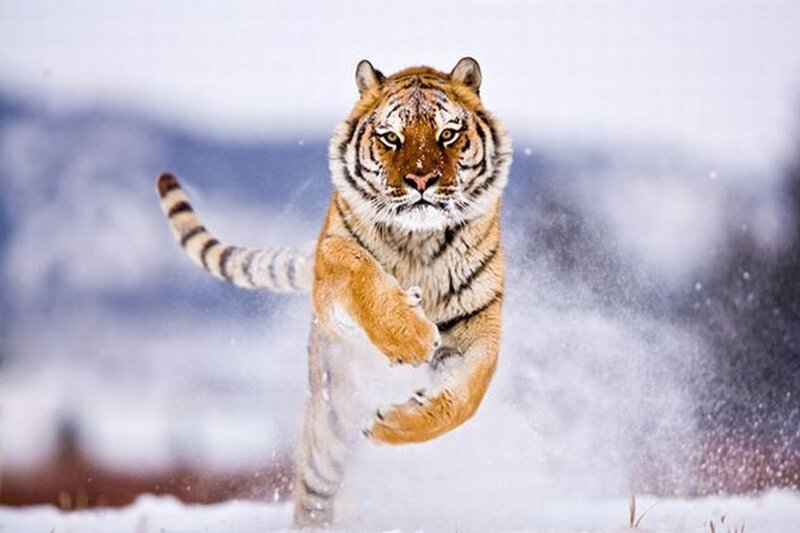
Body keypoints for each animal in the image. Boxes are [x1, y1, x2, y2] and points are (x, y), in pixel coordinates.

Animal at [155, 57, 512, 527]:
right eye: (391, 137)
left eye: (448, 134)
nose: (421, 179)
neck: (418, 242)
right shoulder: (331, 267)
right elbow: (359, 269)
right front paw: (411, 336)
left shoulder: (479, 323)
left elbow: (465, 398)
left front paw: (392, 424)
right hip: (330, 423)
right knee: (313, 488)